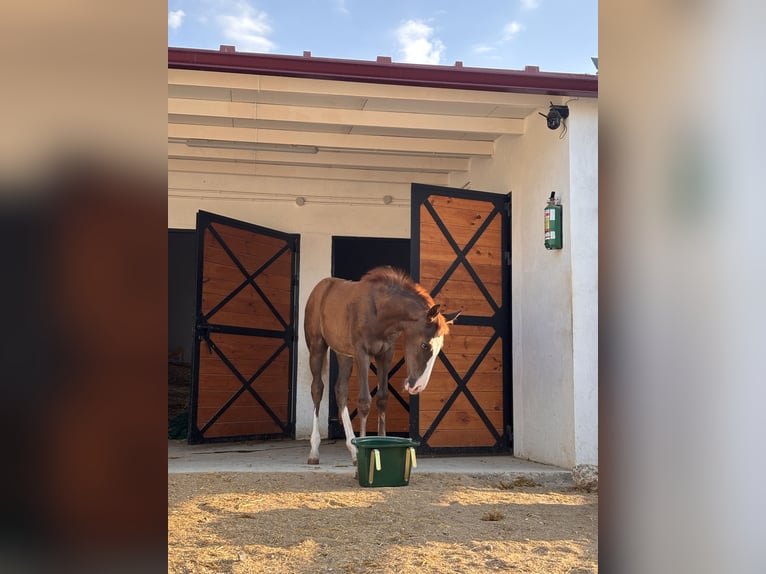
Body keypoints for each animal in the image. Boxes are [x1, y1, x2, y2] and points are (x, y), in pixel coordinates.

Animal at [304, 266, 460, 465]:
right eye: (425, 345)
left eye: (439, 349)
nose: (417, 387)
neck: (380, 313)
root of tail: (319, 288)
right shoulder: (362, 353)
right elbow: (364, 401)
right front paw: (361, 455)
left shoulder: (385, 354)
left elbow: (383, 398)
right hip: (317, 346)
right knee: (317, 388)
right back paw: (314, 451)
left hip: (343, 353)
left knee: (340, 390)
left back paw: (352, 449)